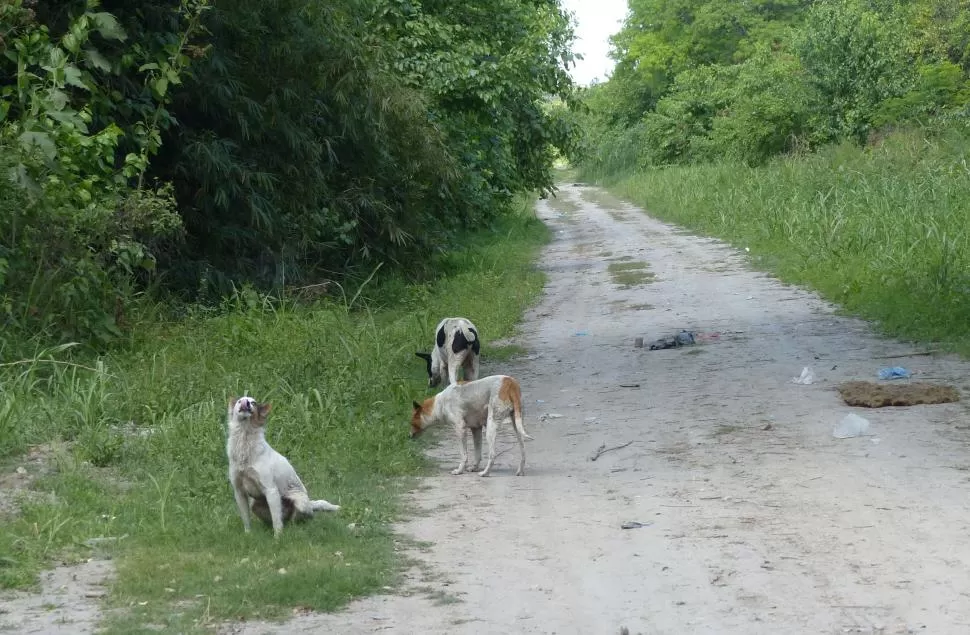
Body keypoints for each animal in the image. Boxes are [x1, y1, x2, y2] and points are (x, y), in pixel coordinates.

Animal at [225, 398, 338, 536]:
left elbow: (276, 522)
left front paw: (278, 538)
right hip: (254, 505)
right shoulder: (239, 491)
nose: (245, 402)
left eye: (253, 402)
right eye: (239, 401)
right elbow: (246, 519)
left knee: (293, 520)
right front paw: (248, 534)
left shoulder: (271, 490)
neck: (244, 438)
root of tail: (310, 504)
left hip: (299, 504)